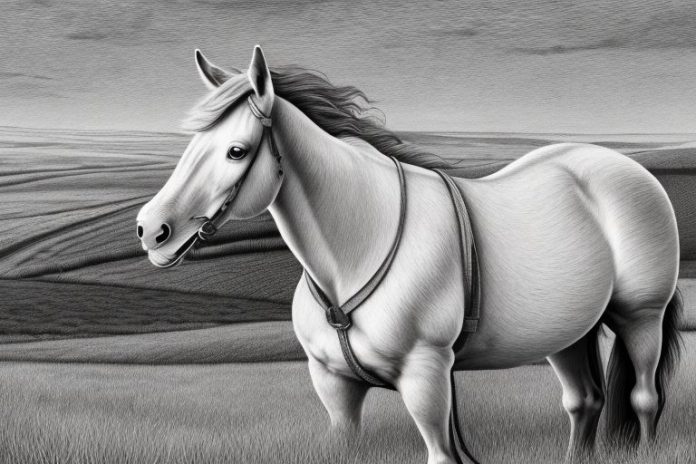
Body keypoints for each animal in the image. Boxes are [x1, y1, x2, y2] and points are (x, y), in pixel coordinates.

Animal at [136, 45, 682, 464]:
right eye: (190, 146)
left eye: (237, 151)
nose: (151, 231)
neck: (358, 247)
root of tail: (620, 167)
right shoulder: (334, 388)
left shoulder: (428, 380)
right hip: (566, 333)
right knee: (584, 401)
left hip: (641, 318)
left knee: (644, 397)